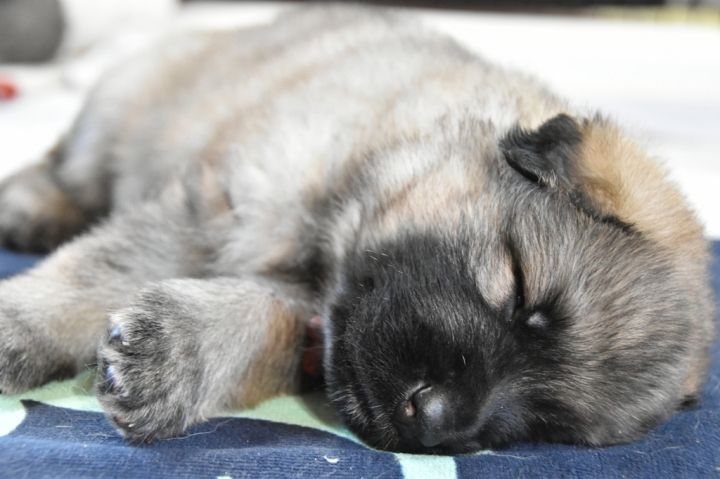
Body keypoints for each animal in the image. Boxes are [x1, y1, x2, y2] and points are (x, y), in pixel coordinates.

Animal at [0, 6, 714, 454]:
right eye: (517, 287)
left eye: (550, 422)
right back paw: (29, 207)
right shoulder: (219, 210)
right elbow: (98, 269)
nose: (434, 422)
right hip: (120, 110)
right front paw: (18, 328)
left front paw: (170, 359)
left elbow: (261, 327)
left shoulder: (312, 322)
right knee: (68, 168)